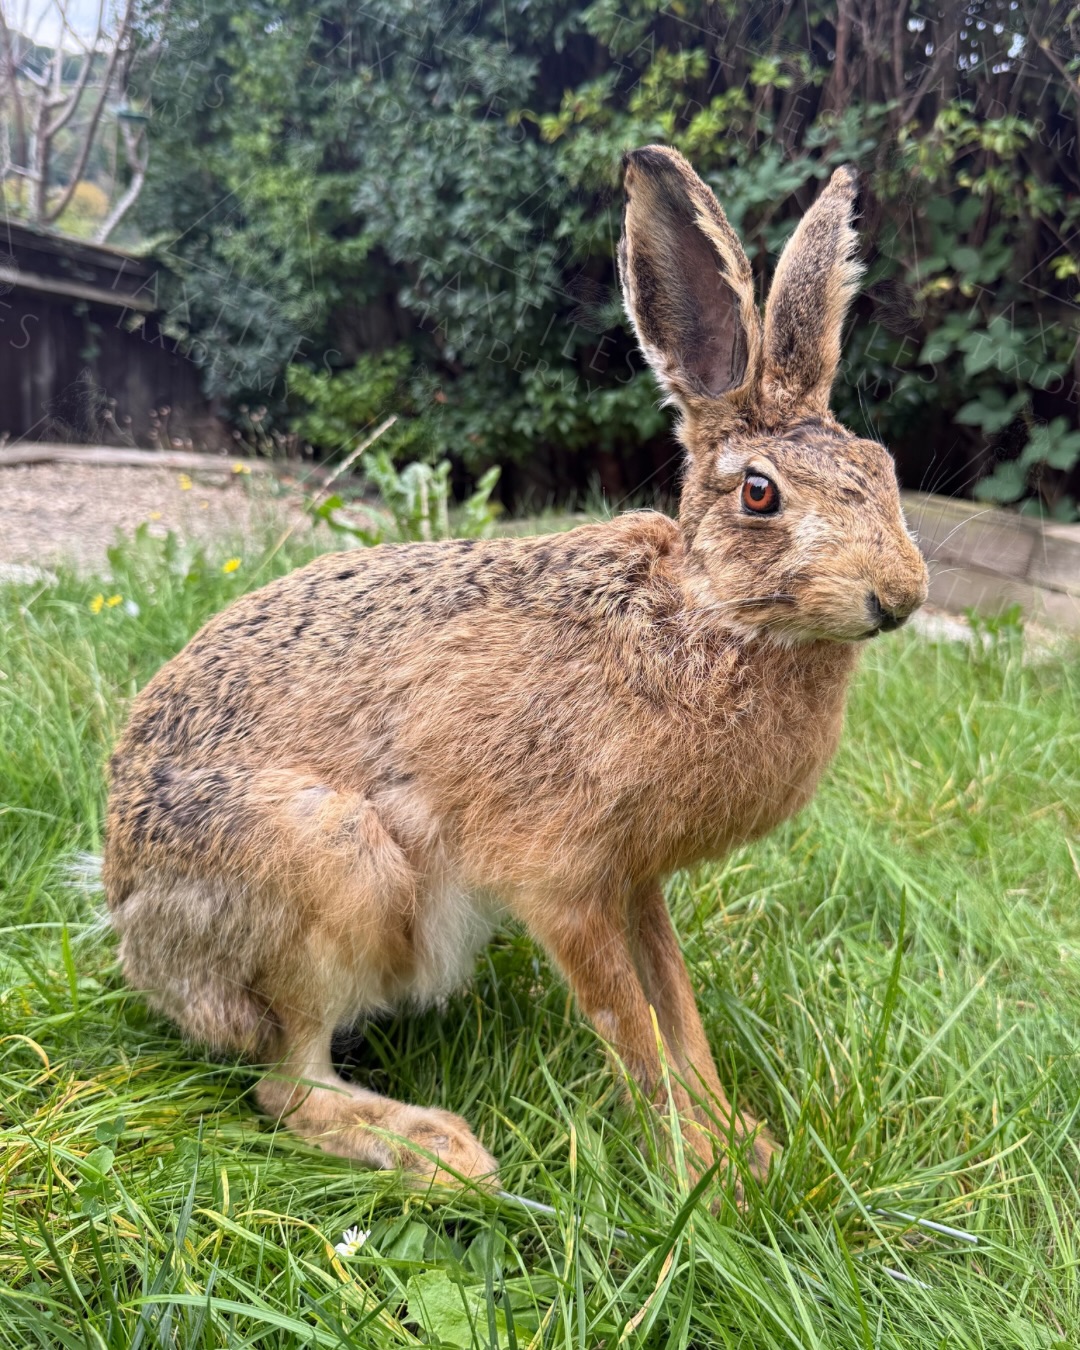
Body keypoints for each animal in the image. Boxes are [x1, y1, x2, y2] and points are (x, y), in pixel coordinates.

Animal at [103, 147, 928, 1191]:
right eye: (759, 494)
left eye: (884, 467)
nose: (900, 595)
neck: (699, 616)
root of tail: (125, 915)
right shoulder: (561, 878)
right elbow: (628, 1025)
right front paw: (701, 1176)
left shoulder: (635, 882)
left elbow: (677, 1012)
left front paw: (743, 1146)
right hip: (332, 865)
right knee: (288, 1086)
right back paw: (440, 1153)